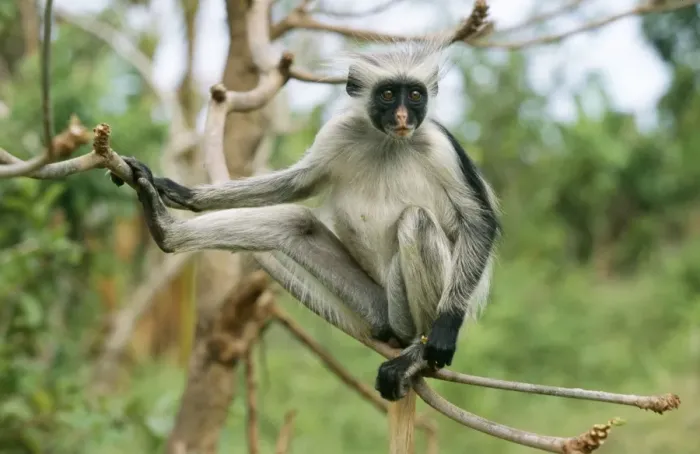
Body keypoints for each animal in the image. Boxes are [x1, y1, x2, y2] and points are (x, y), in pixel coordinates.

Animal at [111, 39, 500, 402]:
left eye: (416, 95)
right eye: (389, 95)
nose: (404, 116)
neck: (388, 141)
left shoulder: (441, 146)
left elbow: (479, 222)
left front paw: (444, 333)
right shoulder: (339, 131)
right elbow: (295, 185)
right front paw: (179, 192)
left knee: (417, 220)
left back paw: (417, 353)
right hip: (377, 303)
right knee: (294, 222)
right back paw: (164, 230)